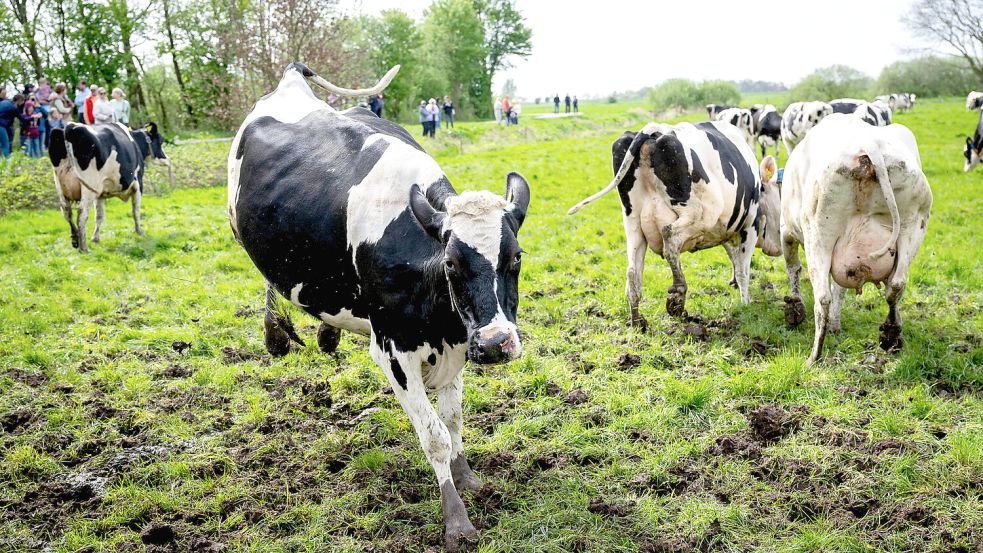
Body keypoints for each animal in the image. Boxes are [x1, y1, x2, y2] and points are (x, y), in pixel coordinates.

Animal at [228, 62, 536, 548]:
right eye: (451, 263)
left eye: (517, 257)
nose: (495, 344)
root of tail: (291, 81)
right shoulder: (393, 350)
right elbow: (434, 437)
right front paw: (456, 520)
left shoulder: (457, 342)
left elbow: (453, 420)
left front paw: (467, 477)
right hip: (238, 226)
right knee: (266, 279)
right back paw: (275, 330)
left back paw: (328, 330)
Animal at [564, 120, 780, 326]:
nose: (776, 249)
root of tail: (655, 130)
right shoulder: (749, 226)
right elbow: (743, 269)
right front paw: (745, 304)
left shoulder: (725, 229)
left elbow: (733, 258)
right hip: (698, 214)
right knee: (670, 237)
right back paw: (677, 295)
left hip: (634, 224)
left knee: (633, 272)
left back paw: (637, 321)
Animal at [780, 112, 936, 364]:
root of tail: (870, 145)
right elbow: (841, 288)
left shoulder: (786, 231)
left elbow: (793, 269)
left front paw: (794, 309)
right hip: (913, 225)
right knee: (896, 285)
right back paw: (891, 334)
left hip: (818, 232)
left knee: (822, 297)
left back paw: (814, 357)